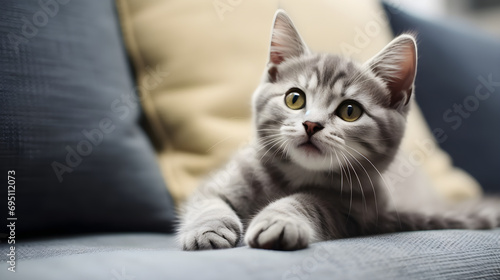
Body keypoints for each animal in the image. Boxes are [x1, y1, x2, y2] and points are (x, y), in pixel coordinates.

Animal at [178, 10, 498, 252]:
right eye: (295, 99)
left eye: (350, 111)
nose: (311, 124)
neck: (297, 175)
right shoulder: (225, 179)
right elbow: (207, 200)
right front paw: (208, 227)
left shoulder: (358, 209)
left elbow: (311, 203)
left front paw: (280, 220)